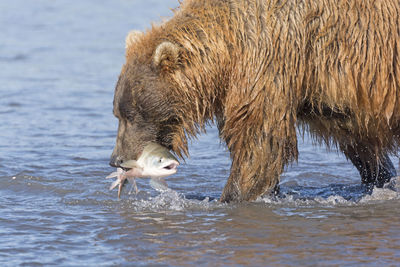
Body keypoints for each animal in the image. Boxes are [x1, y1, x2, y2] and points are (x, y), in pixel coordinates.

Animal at [109, 0, 400, 201]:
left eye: (132, 114)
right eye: (117, 113)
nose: (115, 159)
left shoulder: (270, 58)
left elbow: (258, 140)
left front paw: (231, 196)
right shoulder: (331, 94)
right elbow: (359, 142)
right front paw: (382, 178)